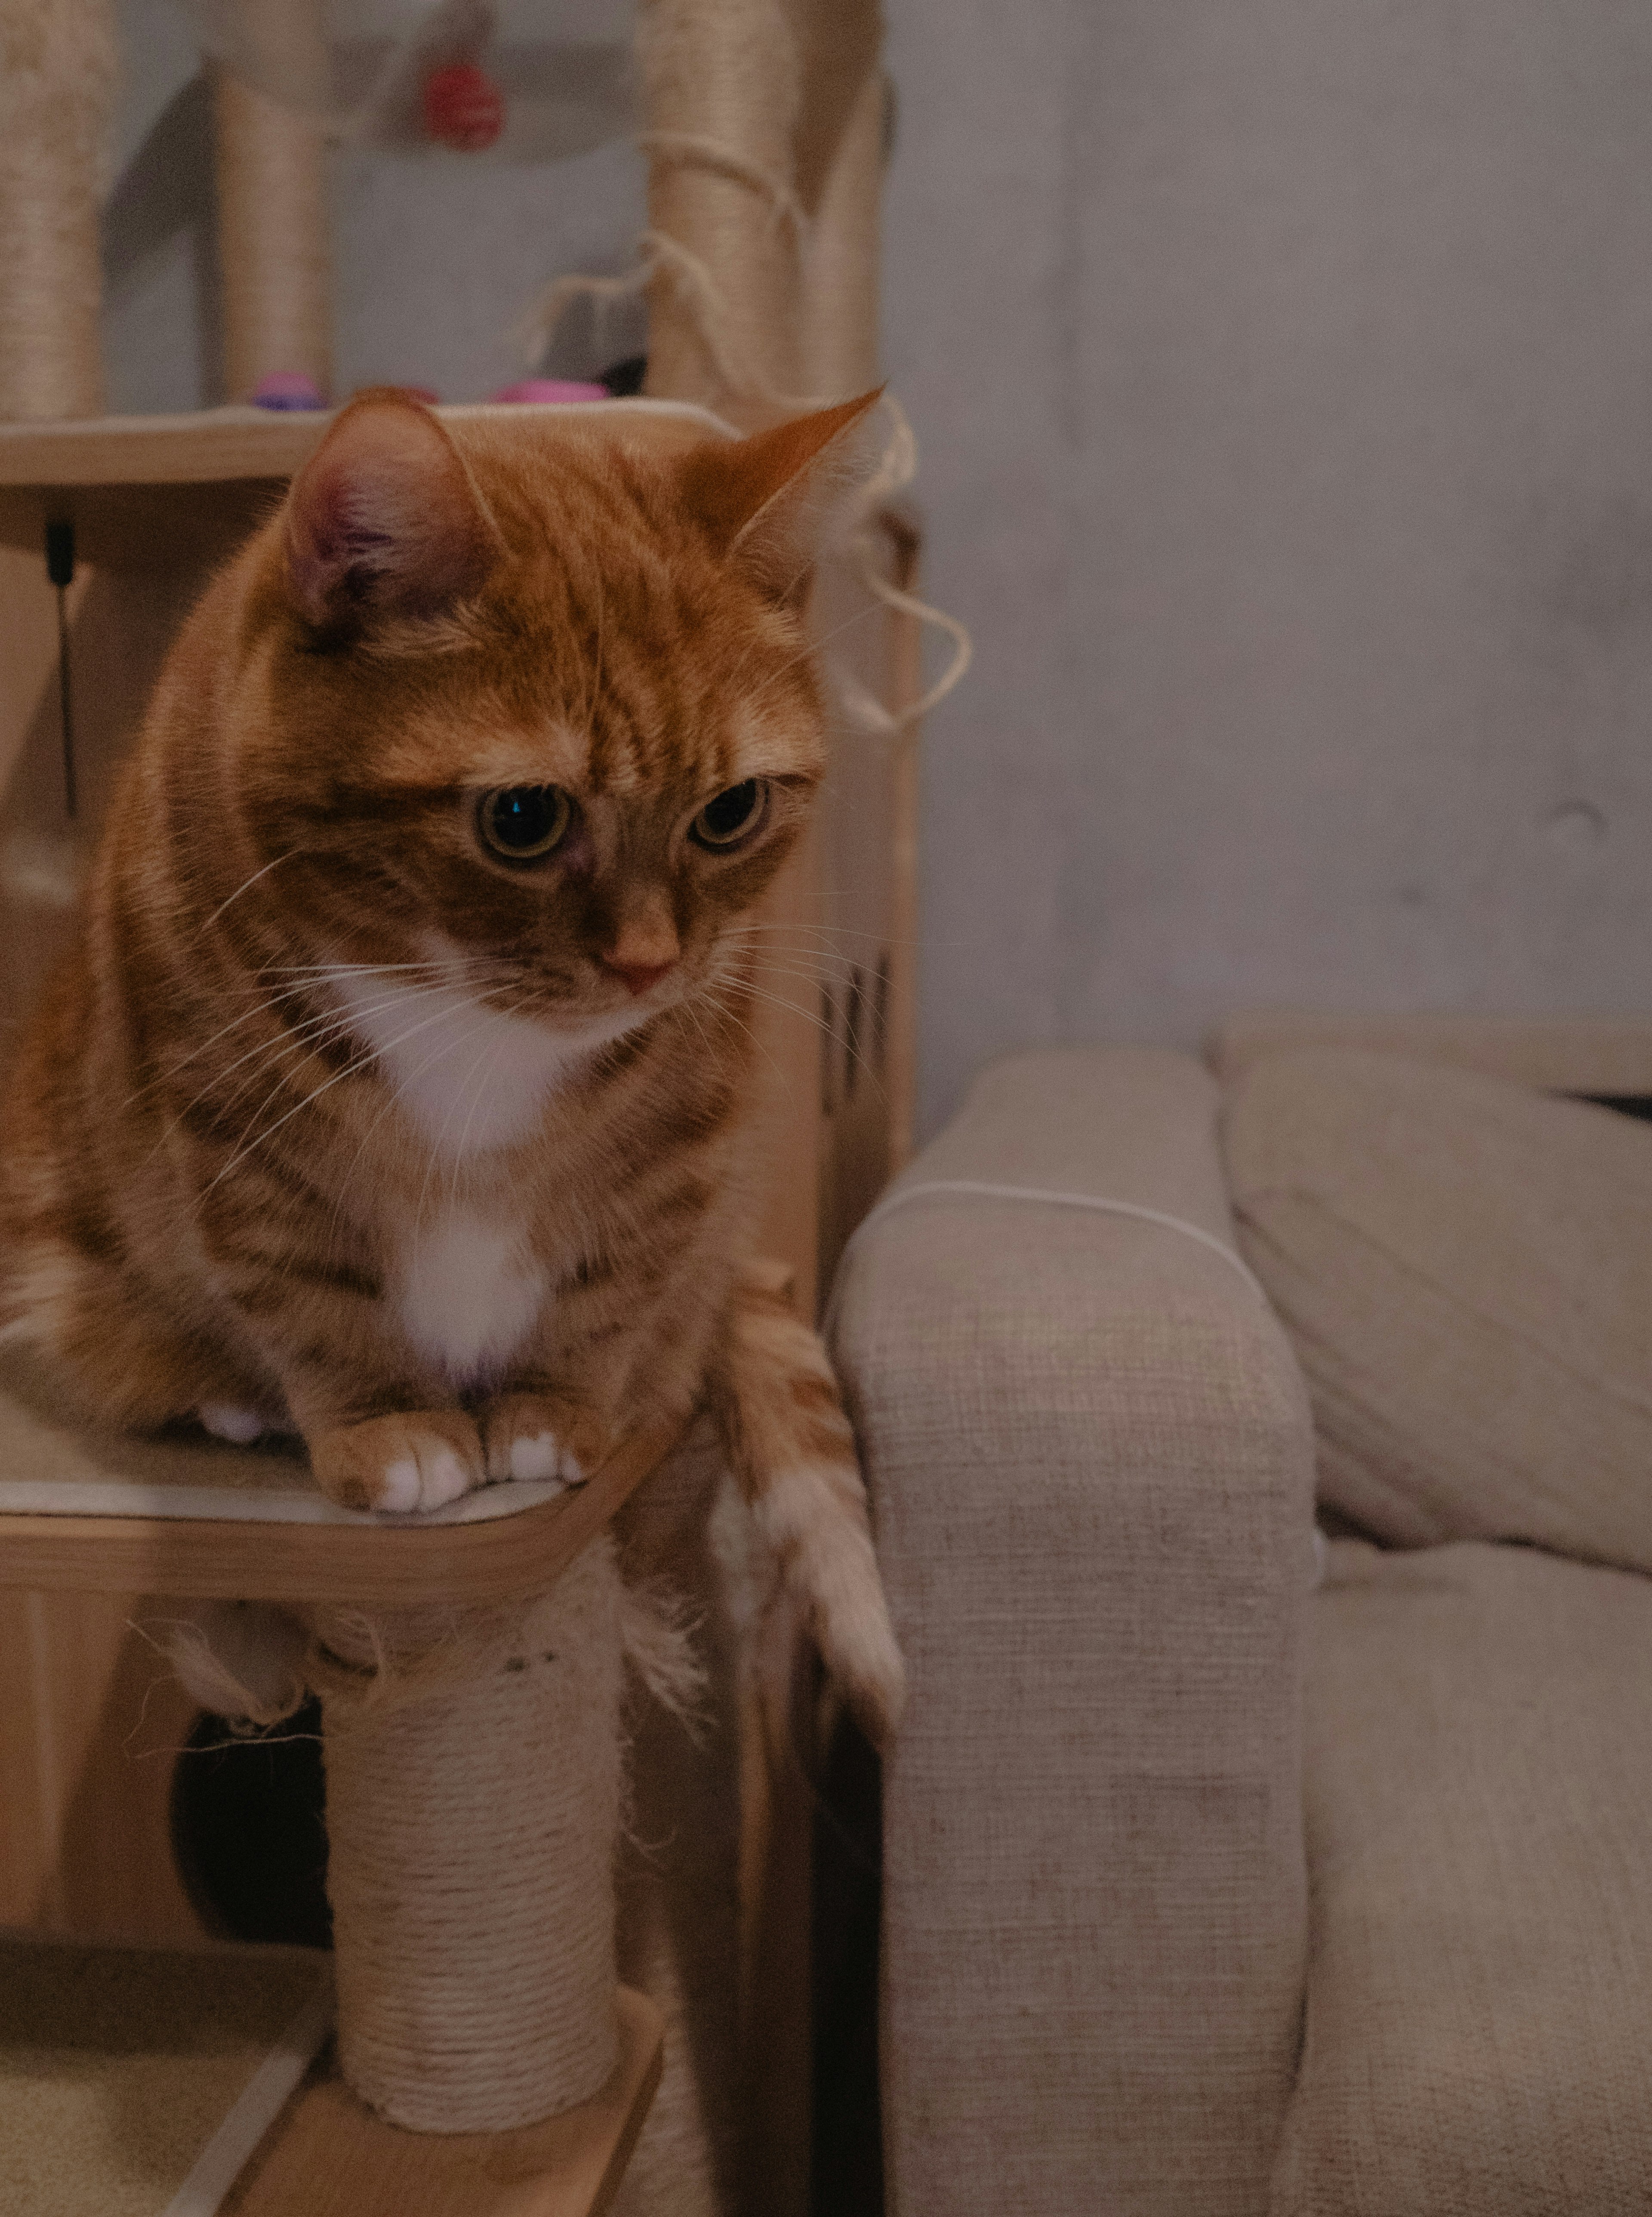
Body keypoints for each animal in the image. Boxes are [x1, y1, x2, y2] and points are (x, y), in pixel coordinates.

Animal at [0, 395, 900, 1747]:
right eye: (523, 819)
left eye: (730, 813)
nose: (652, 966)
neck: (471, 1019)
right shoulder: (235, 1135)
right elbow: (312, 1293)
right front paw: (390, 1431)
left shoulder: (682, 1142)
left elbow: (604, 1287)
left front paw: (548, 1417)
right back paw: (235, 1398)